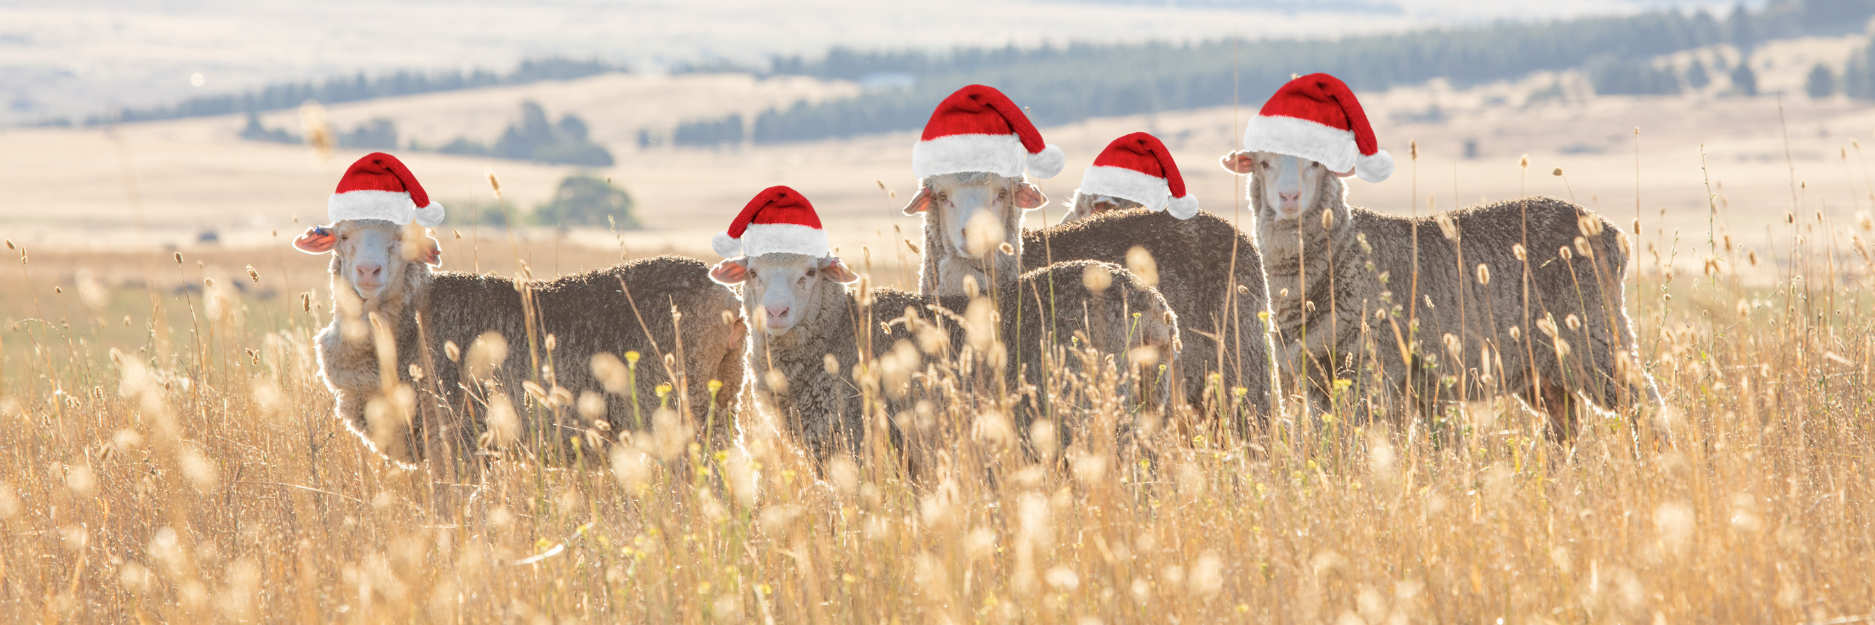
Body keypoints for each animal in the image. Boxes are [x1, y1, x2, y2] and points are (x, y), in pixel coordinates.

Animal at [292, 218, 746, 461]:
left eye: (400, 240)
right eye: (343, 236)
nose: (369, 273)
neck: (411, 319)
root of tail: (730, 300)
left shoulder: (454, 440)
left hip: (675, 410)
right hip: (720, 405)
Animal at [1222, 150, 1665, 433]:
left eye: (1316, 164)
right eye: (1263, 163)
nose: (1289, 198)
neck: (1343, 251)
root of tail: (1613, 232)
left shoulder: (1370, 371)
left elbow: (1364, 444)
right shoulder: (1313, 382)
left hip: (1593, 334)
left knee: (1644, 401)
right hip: (1542, 366)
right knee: (1567, 426)